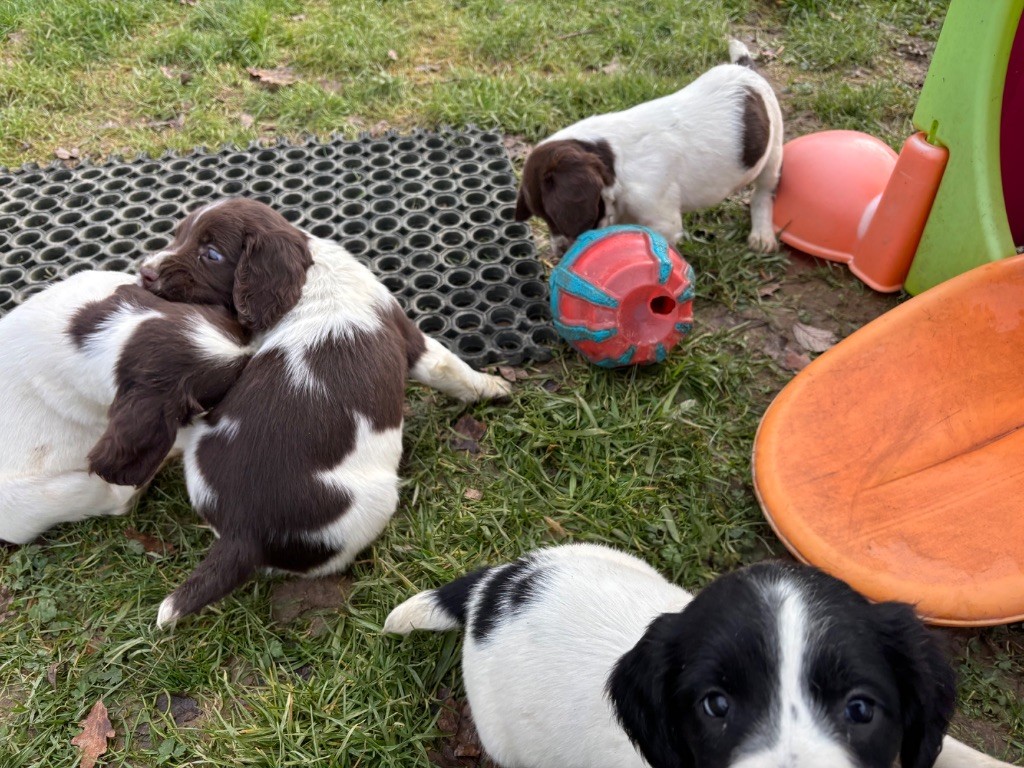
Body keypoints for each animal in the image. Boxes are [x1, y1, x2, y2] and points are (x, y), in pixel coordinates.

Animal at [128, 199, 512, 630]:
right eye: (179, 236)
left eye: (210, 253)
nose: (145, 271)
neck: (309, 277)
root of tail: (243, 531)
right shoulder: (410, 338)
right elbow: (451, 368)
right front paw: (494, 387)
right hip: (375, 501)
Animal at [512, 41, 782, 256]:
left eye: (555, 217)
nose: (560, 252)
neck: (615, 163)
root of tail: (745, 69)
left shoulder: (661, 220)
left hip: (773, 150)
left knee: (763, 193)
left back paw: (762, 235)